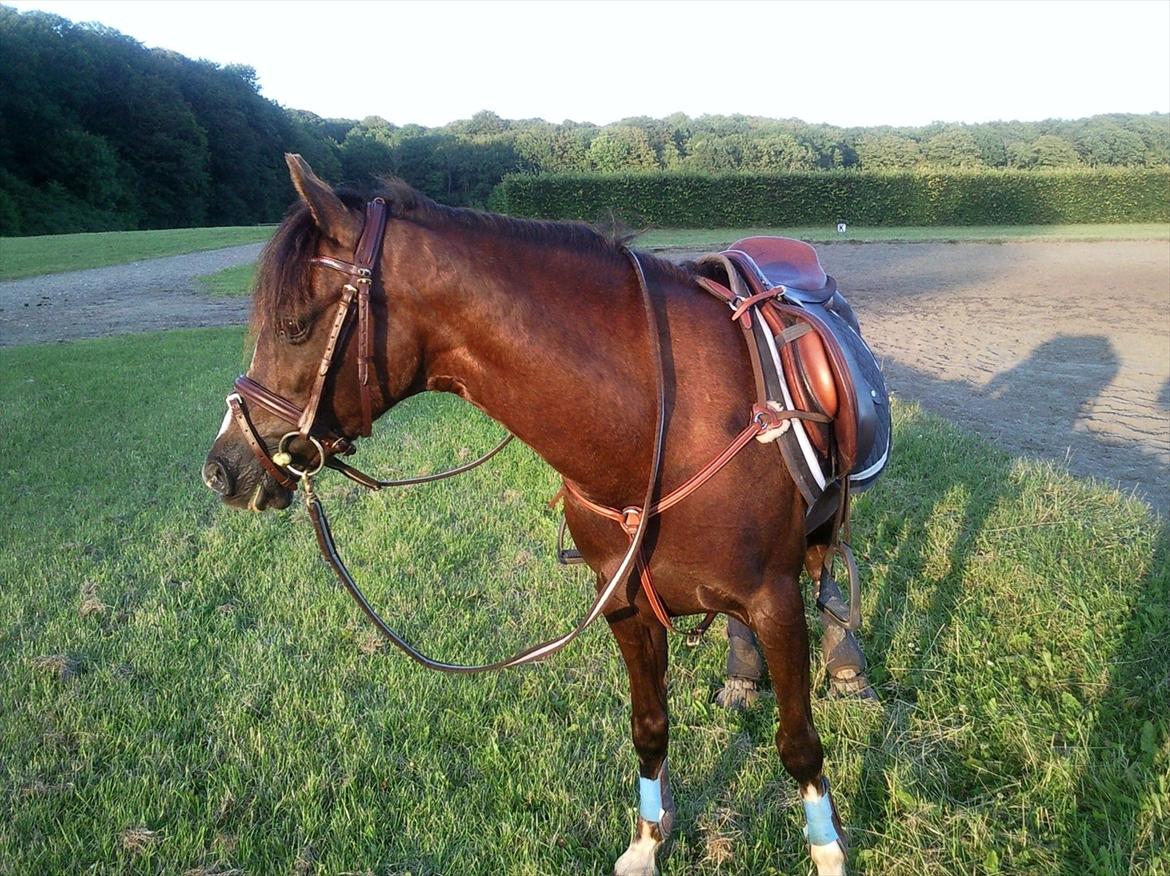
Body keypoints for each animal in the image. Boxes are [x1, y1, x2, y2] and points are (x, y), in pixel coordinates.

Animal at [203, 154, 851, 876]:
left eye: (294, 325)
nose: (223, 467)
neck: (666, 419)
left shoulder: (775, 600)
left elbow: (799, 743)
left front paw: (827, 851)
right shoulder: (624, 602)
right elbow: (649, 728)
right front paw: (646, 843)